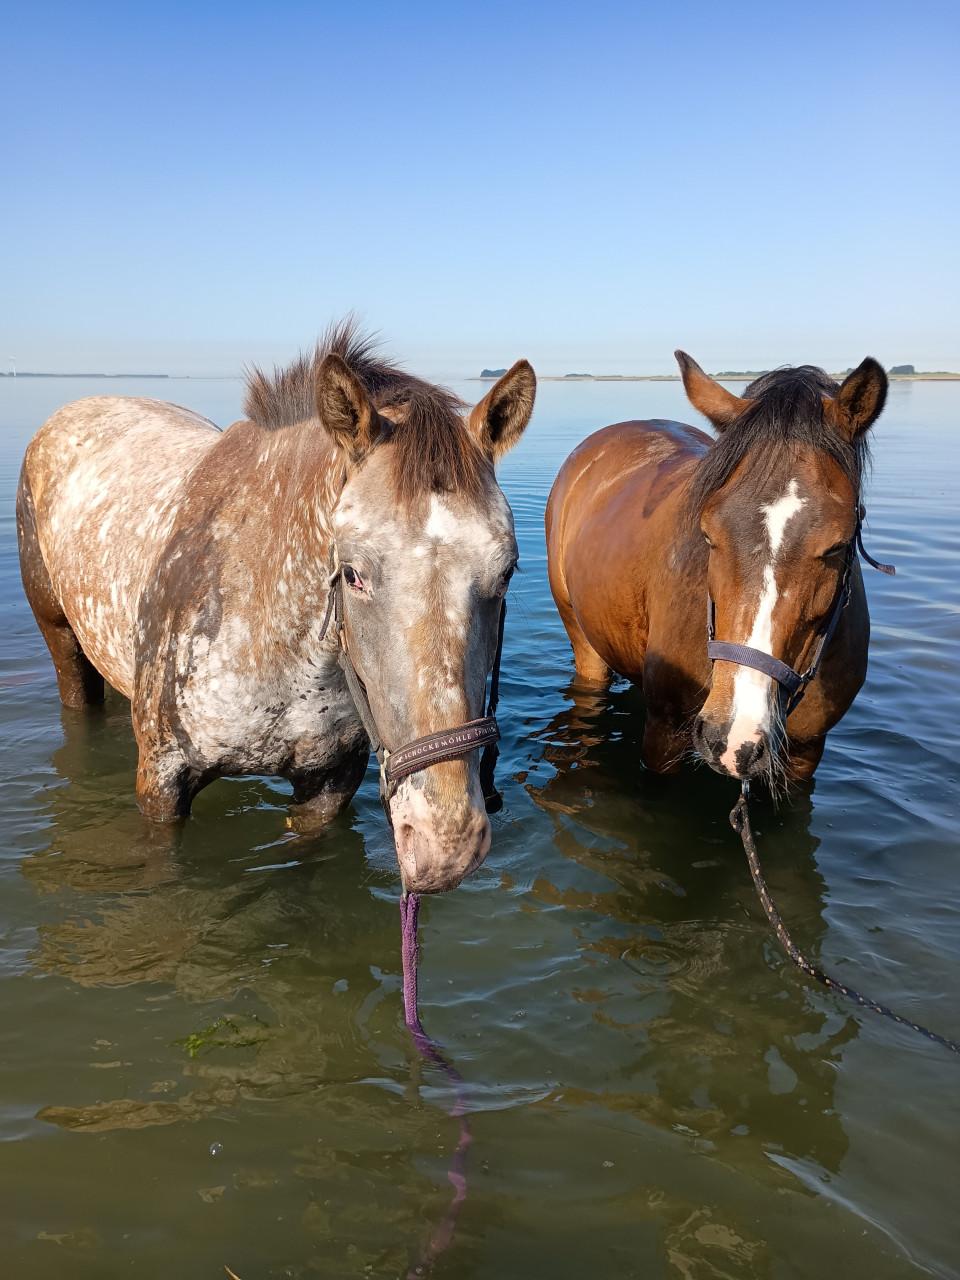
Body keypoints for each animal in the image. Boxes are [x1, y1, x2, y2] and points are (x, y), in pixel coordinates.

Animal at [17, 321, 536, 894]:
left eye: (506, 571)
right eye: (352, 573)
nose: (446, 843)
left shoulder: (327, 790)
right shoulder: (161, 787)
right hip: (60, 638)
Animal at [545, 353, 888, 789]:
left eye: (837, 546)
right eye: (708, 533)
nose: (734, 736)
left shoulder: (806, 754)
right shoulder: (664, 738)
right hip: (580, 636)